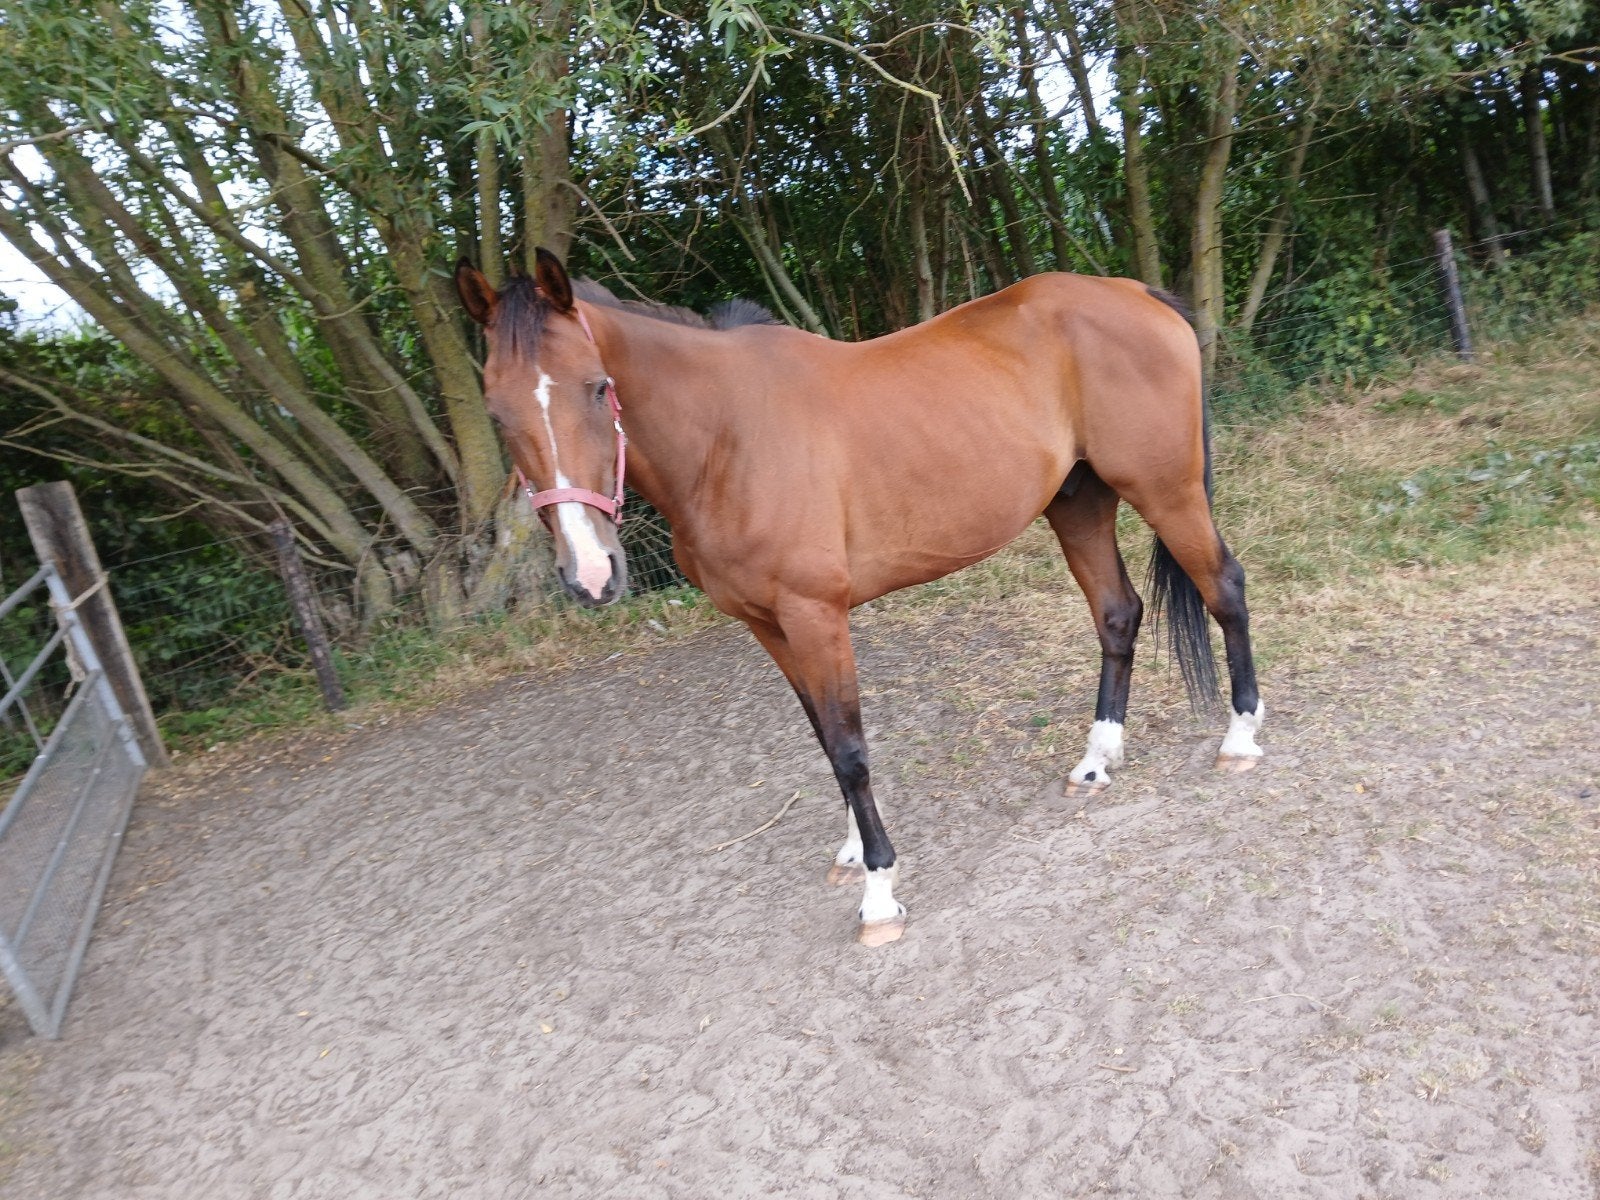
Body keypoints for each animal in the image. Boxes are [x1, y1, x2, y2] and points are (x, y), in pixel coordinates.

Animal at [455, 250, 1263, 947]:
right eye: (495, 412)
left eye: (598, 386)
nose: (592, 574)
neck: (726, 436)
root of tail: (1133, 293)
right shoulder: (768, 625)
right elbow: (823, 736)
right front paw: (851, 851)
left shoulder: (815, 615)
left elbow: (849, 748)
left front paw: (879, 892)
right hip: (1080, 503)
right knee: (1117, 614)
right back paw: (1097, 759)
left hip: (1167, 489)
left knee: (1225, 588)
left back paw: (1241, 738)